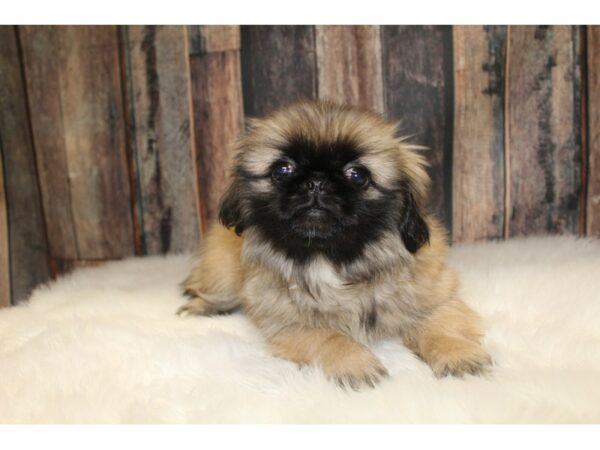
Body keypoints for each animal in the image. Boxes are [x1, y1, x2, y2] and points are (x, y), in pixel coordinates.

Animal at [179, 100, 492, 388]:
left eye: (357, 175)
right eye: (282, 170)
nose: (317, 181)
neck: (329, 258)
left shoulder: (438, 297)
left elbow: (440, 325)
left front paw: (459, 355)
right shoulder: (288, 324)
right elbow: (329, 336)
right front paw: (356, 364)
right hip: (223, 275)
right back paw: (200, 306)